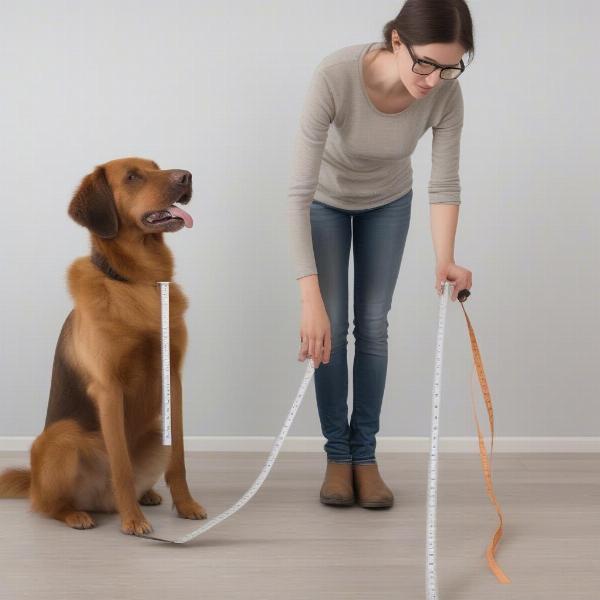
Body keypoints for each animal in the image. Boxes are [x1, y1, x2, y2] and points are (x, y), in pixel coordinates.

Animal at [0, 156, 206, 536]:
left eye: (156, 165)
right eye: (133, 177)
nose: (186, 176)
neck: (138, 283)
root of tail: (100, 501)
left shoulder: (174, 378)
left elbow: (179, 458)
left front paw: (185, 505)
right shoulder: (109, 389)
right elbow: (121, 465)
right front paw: (133, 521)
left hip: (154, 430)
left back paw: (147, 494)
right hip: (61, 437)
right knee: (49, 505)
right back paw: (77, 514)